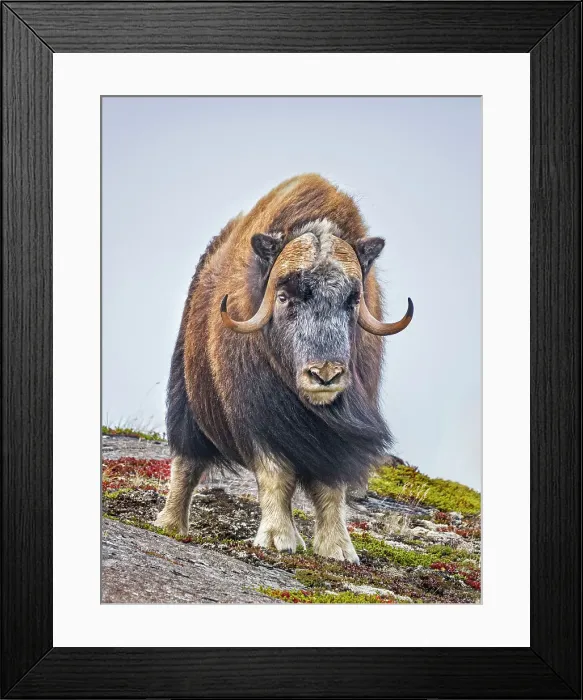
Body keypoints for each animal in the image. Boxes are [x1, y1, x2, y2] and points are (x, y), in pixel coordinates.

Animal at [155, 174, 413, 563]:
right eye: (284, 297)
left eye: (352, 300)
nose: (325, 375)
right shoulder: (257, 420)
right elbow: (276, 475)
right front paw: (278, 539)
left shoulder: (336, 437)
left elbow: (330, 488)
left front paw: (338, 550)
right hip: (185, 394)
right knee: (186, 462)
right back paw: (169, 525)